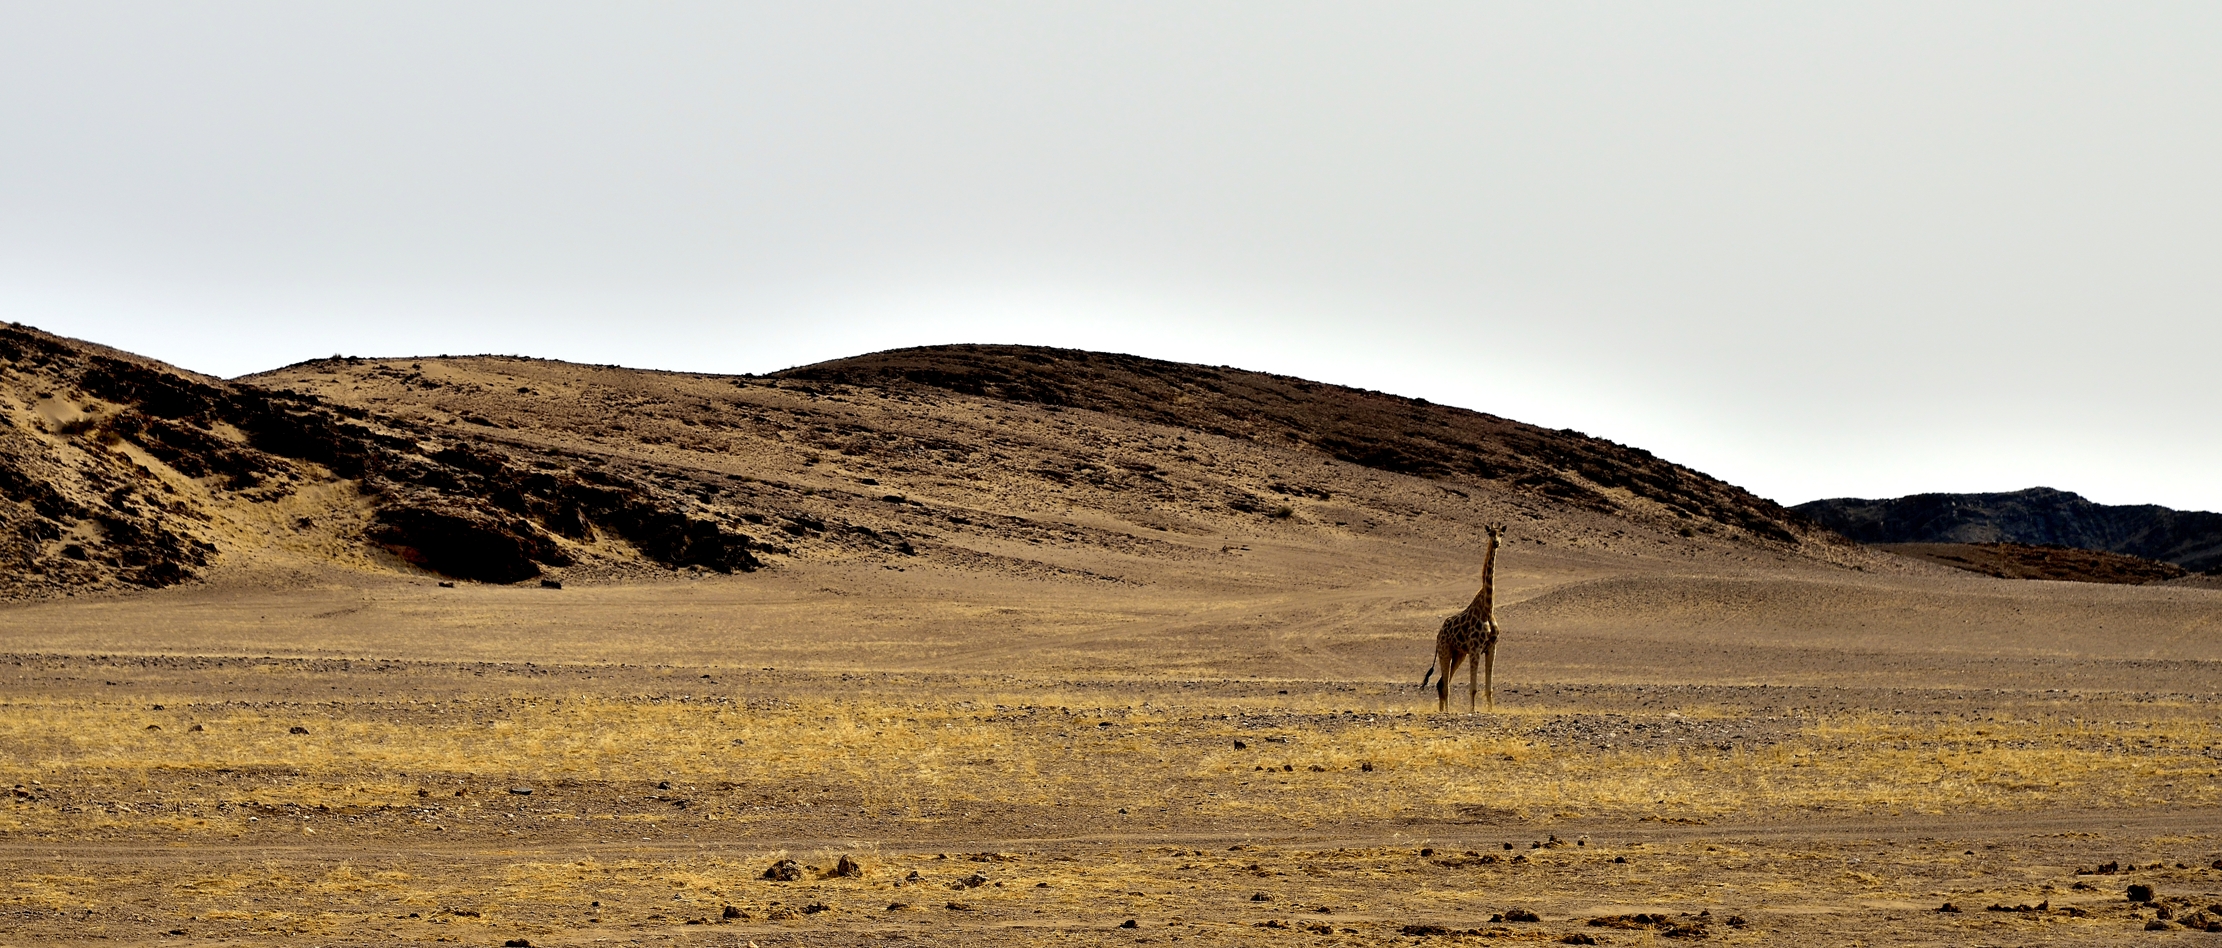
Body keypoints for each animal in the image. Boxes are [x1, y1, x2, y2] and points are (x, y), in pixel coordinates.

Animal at [1420, 523, 1507, 712]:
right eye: (1490, 533)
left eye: (1501, 534)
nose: (1496, 543)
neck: (1487, 608)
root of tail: (1438, 634)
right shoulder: (1475, 648)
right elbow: (1473, 687)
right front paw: (1472, 710)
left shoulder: (1492, 648)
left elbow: (1489, 688)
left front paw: (1490, 710)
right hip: (1445, 650)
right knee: (1444, 684)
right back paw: (1446, 711)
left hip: (1458, 653)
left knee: (1441, 683)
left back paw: (1444, 710)